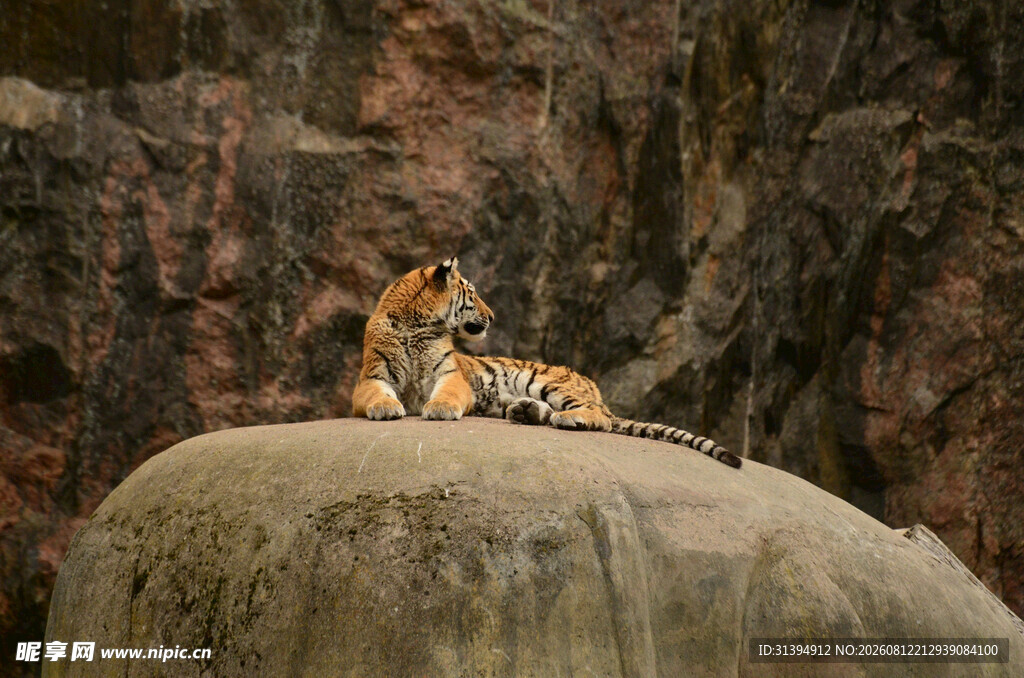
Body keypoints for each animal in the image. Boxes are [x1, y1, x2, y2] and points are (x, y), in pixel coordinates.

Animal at [351, 258, 742, 468]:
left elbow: (446, 393)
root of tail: (595, 389)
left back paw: (566, 418)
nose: (493, 316)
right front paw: (387, 408)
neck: (418, 325)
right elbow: (377, 395)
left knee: (598, 418)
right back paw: (524, 412)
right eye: (472, 292)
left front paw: (440, 409)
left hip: (548, 382)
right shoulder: (370, 378)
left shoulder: (450, 375)